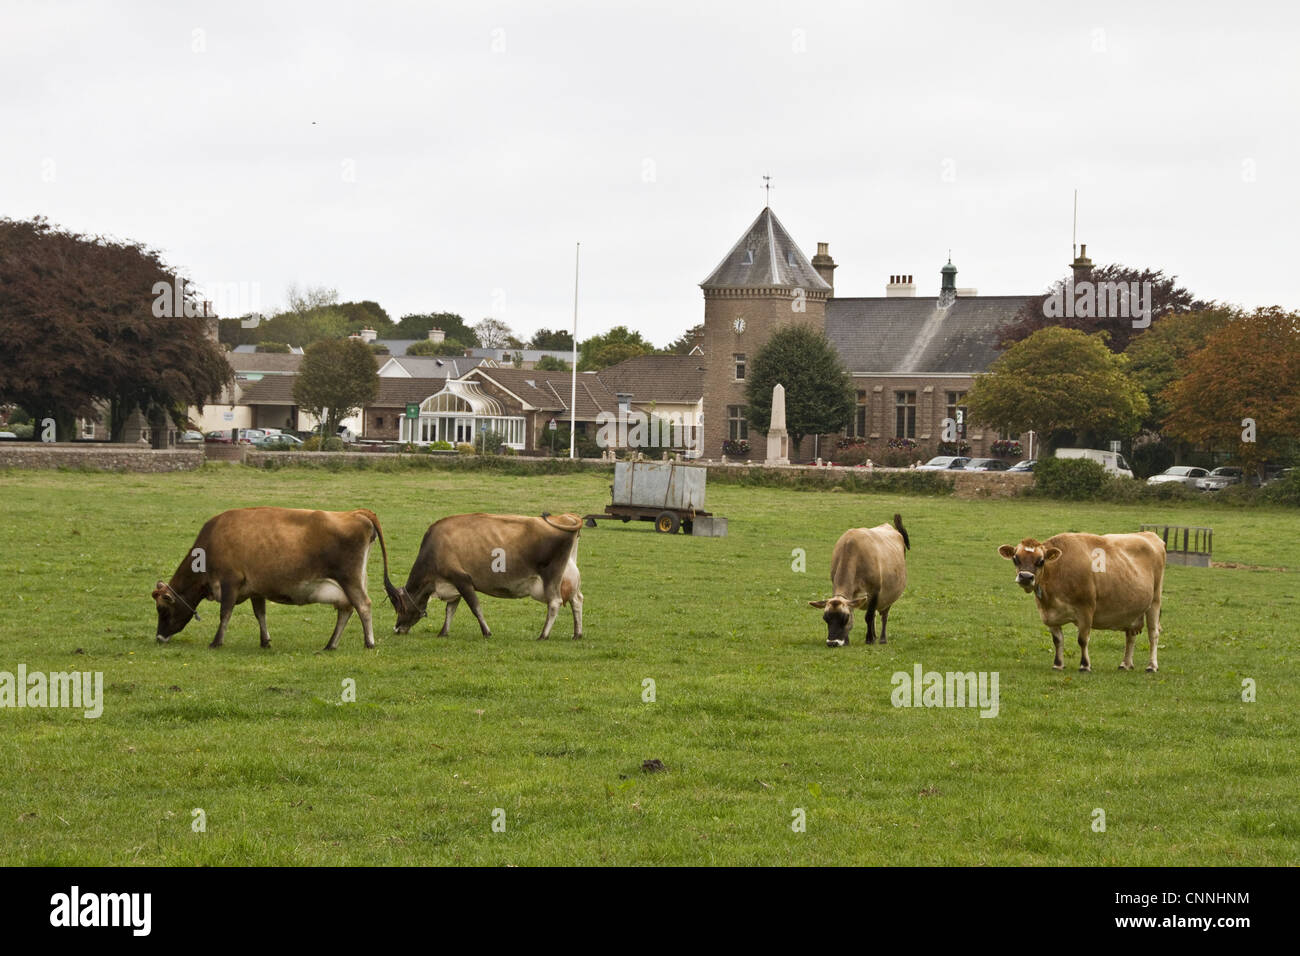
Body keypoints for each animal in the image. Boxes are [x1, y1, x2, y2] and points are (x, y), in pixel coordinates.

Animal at [151, 504, 395, 655]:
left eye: (162, 609)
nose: (159, 638)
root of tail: (355, 513)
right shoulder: (255, 589)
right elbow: (260, 614)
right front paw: (265, 641)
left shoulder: (230, 582)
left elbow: (225, 613)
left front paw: (216, 642)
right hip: (349, 582)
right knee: (346, 610)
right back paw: (331, 644)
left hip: (349, 578)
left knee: (363, 605)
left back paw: (369, 642)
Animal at [384, 512, 585, 639]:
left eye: (400, 607)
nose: (397, 628)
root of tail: (566, 517)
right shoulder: (453, 584)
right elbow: (450, 609)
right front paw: (443, 632)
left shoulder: (462, 579)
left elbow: (475, 607)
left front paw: (486, 632)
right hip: (568, 576)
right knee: (577, 600)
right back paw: (577, 634)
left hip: (551, 575)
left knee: (555, 603)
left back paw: (543, 635)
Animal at [806, 512, 909, 647]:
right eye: (825, 618)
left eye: (845, 618)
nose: (832, 642)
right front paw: (847, 641)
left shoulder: (875, 591)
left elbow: (868, 616)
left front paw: (869, 639)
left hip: (889, 596)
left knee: (884, 615)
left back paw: (882, 638)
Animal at [993, 530, 1170, 671]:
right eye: (1016, 558)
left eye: (1041, 561)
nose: (1025, 577)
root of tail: (1148, 534)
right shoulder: (1049, 615)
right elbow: (1057, 640)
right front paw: (1058, 664)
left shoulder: (1086, 610)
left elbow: (1082, 639)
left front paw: (1085, 665)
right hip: (1132, 608)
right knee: (1130, 636)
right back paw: (1125, 664)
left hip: (1155, 601)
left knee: (1153, 634)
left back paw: (1152, 666)